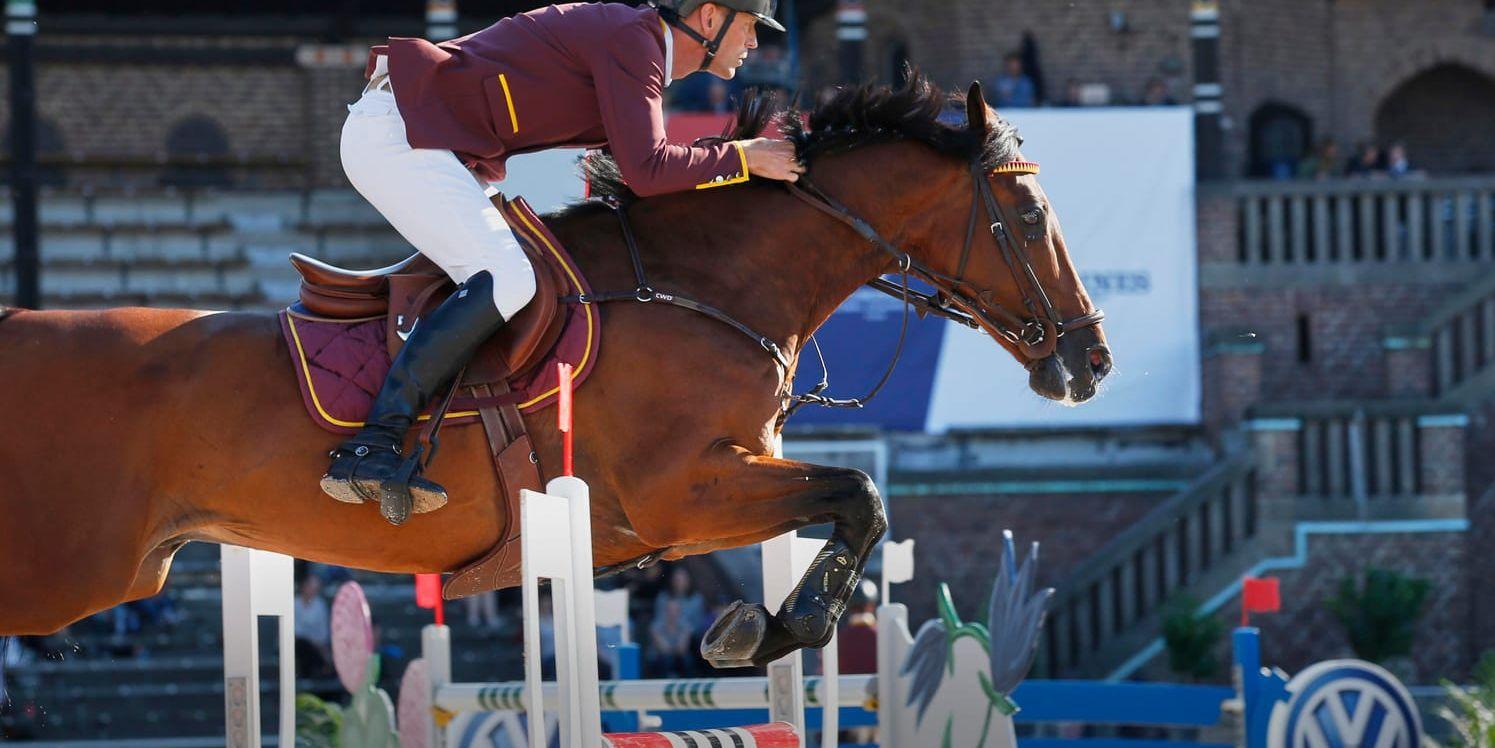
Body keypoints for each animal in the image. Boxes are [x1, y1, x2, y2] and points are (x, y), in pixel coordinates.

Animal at [0, 78, 1112, 670]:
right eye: (1025, 218)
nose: (1090, 360)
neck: (700, 286)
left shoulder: (688, 504)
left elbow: (855, 505)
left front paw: (757, 629)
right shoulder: (681, 492)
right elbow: (861, 494)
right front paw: (768, 631)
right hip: (74, 568)